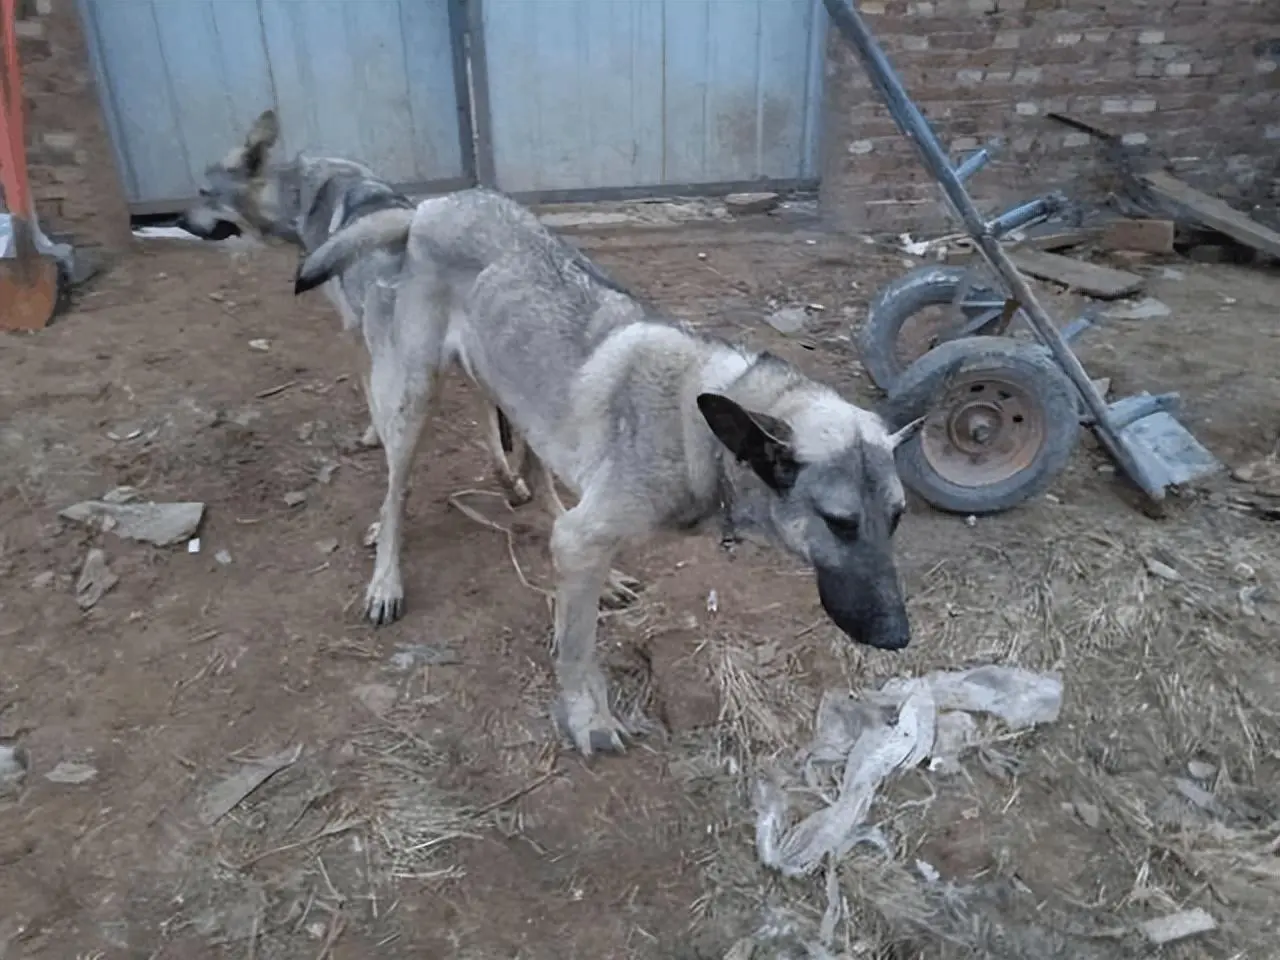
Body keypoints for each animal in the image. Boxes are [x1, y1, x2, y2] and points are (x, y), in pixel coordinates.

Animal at [180, 110, 942, 757]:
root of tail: (430, 206)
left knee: (540, 476)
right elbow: (577, 650)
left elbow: (571, 572)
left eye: (897, 519)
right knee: (396, 493)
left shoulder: (586, 531)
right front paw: (587, 717)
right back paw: (387, 577)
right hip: (413, 397)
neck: (704, 428)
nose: (899, 637)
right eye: (839, 524)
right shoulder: (586, 537)